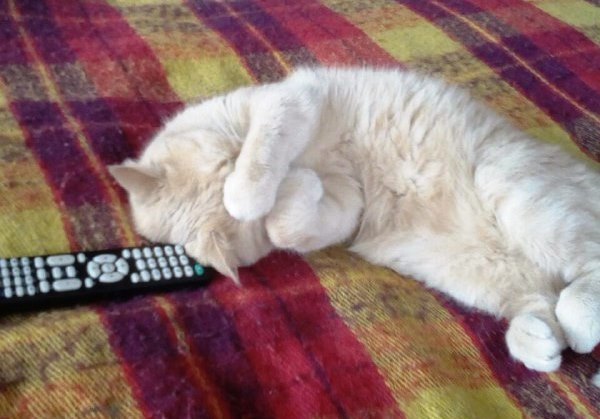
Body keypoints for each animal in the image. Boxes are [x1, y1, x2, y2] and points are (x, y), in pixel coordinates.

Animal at [109, 66, 600, 382]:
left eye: (227, 162)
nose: (290, 176)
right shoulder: (346, 204)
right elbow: (289, 224)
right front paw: (289, 191)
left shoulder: (289, 99)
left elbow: (264, 147)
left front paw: (250, 192)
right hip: (472, 269)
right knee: (542, 303)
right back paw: (536, 343)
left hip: (517, 196)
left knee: (585, 272)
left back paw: (578, 322)